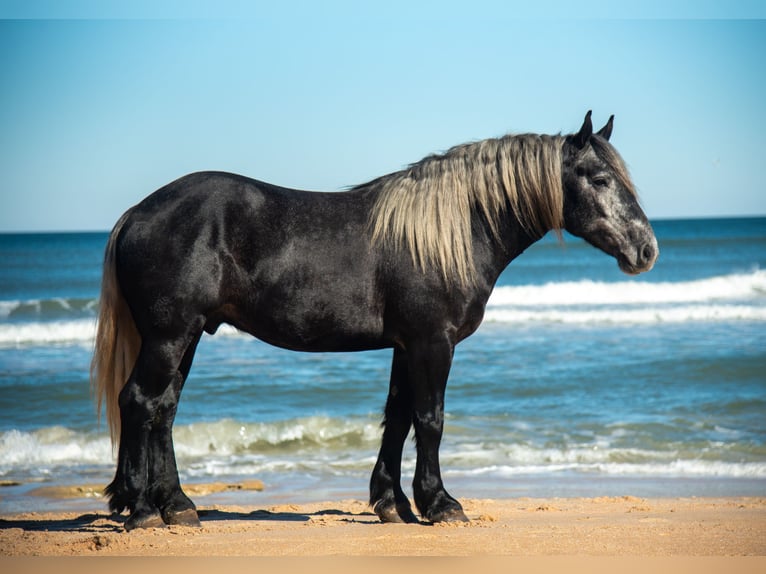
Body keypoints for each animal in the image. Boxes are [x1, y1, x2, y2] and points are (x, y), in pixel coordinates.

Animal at [91, 111, 658, 531]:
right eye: (601, 179)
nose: (646, 250)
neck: (450, 231)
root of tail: (138, 213)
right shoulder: (433, 343)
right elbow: (430, 419)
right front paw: (440, 504)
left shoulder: (407, 346)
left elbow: (398, 417)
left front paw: (394, 504)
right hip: (169, 336)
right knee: (139, 403)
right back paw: (143, 510)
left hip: (185, 337)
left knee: (164, 409)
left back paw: (178, 507)